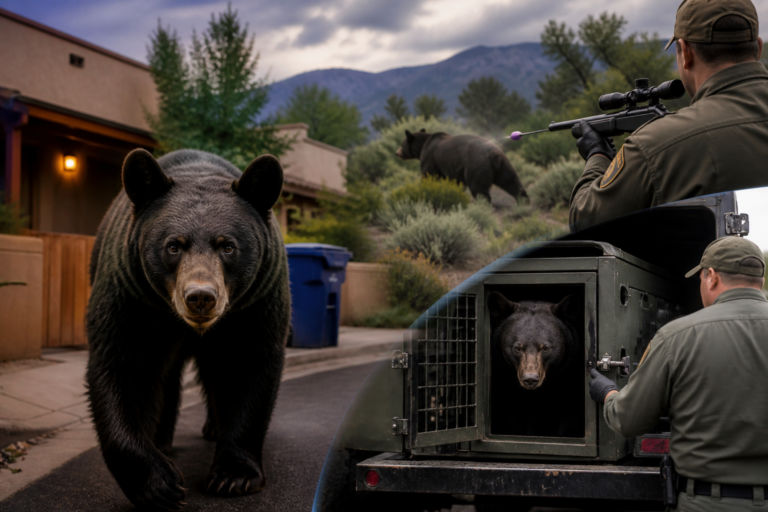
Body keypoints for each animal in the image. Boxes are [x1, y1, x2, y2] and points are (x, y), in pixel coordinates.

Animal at [85, 148, 290, 510]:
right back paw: (163, 441)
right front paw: (159, 484)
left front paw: (233, 476)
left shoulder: (254, 305)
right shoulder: (133, 298)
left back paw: (211, 429)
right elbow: (123, 365)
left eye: (227, 246)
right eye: (173, 246)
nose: (200, 297)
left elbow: (249, 362)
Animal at [395, 129, 528, 202]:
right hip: (503, 165)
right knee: (512, 182)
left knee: (478, 189)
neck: (422, 146)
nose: (397, 153)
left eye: (402, 144)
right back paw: (523, 203)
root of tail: (494, 155)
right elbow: (456, 183)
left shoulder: (430, 159)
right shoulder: (454, 169)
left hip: (476, 166)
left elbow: (429, 176)